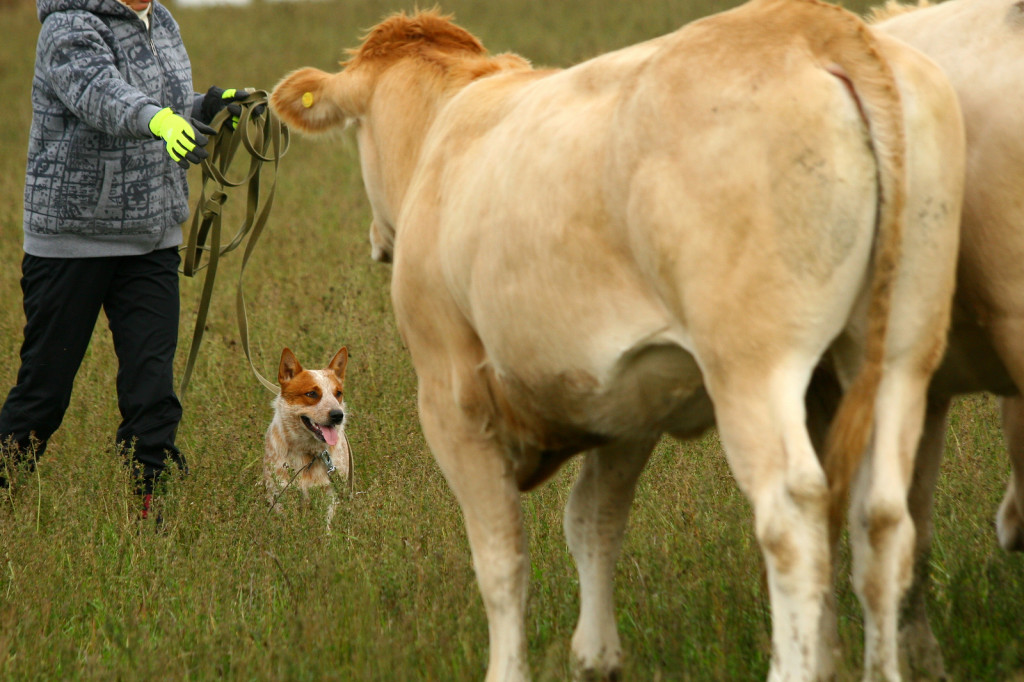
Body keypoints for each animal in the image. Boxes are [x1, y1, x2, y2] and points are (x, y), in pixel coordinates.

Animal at [264, 346, 352, 524]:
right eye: (311, 393)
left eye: (338, 393)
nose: (338, 415)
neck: (307, 454)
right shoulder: (280, 493)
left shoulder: (330, 493)